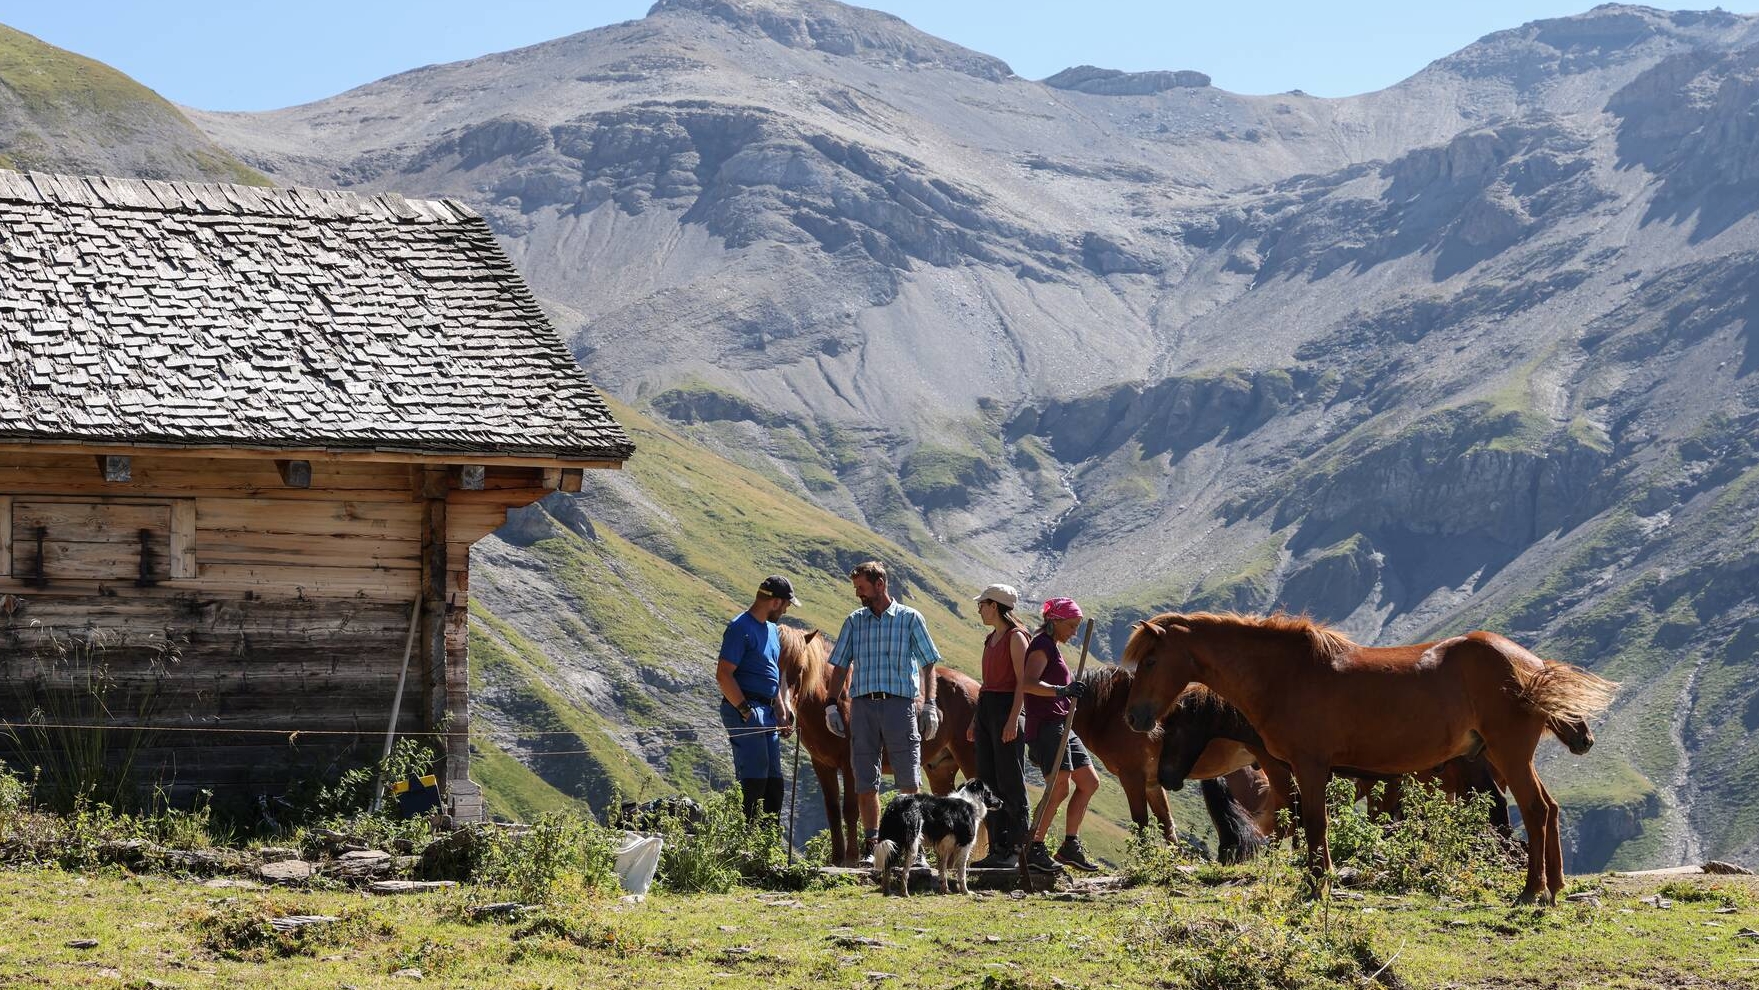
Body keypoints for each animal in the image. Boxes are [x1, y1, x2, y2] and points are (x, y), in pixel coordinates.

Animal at [868, 784, 999, 900]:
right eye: (990, 793)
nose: (1001, 802)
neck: (971, 800)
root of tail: (894, 804)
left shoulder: (944, 848)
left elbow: (943, 871)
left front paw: (945, 890)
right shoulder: (964, 845)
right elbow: (962, 874)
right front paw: (966, 892)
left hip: (894, 843)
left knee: (887, 868)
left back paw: (887, 893)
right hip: (912, 844)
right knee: (904, 872)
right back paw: (904, 893)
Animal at [1132, 611, 1611, 907]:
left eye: (1151, 660)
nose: (1134, 717)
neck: (1285, 675)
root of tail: (1530, 664)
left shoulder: (1309, 767)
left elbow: (1314, 822)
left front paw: (1318, 883)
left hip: (1507, 755)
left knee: (1534, 809)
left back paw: (1532, 891)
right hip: (1508, 757)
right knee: (1548, 808)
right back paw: (1555, 887)